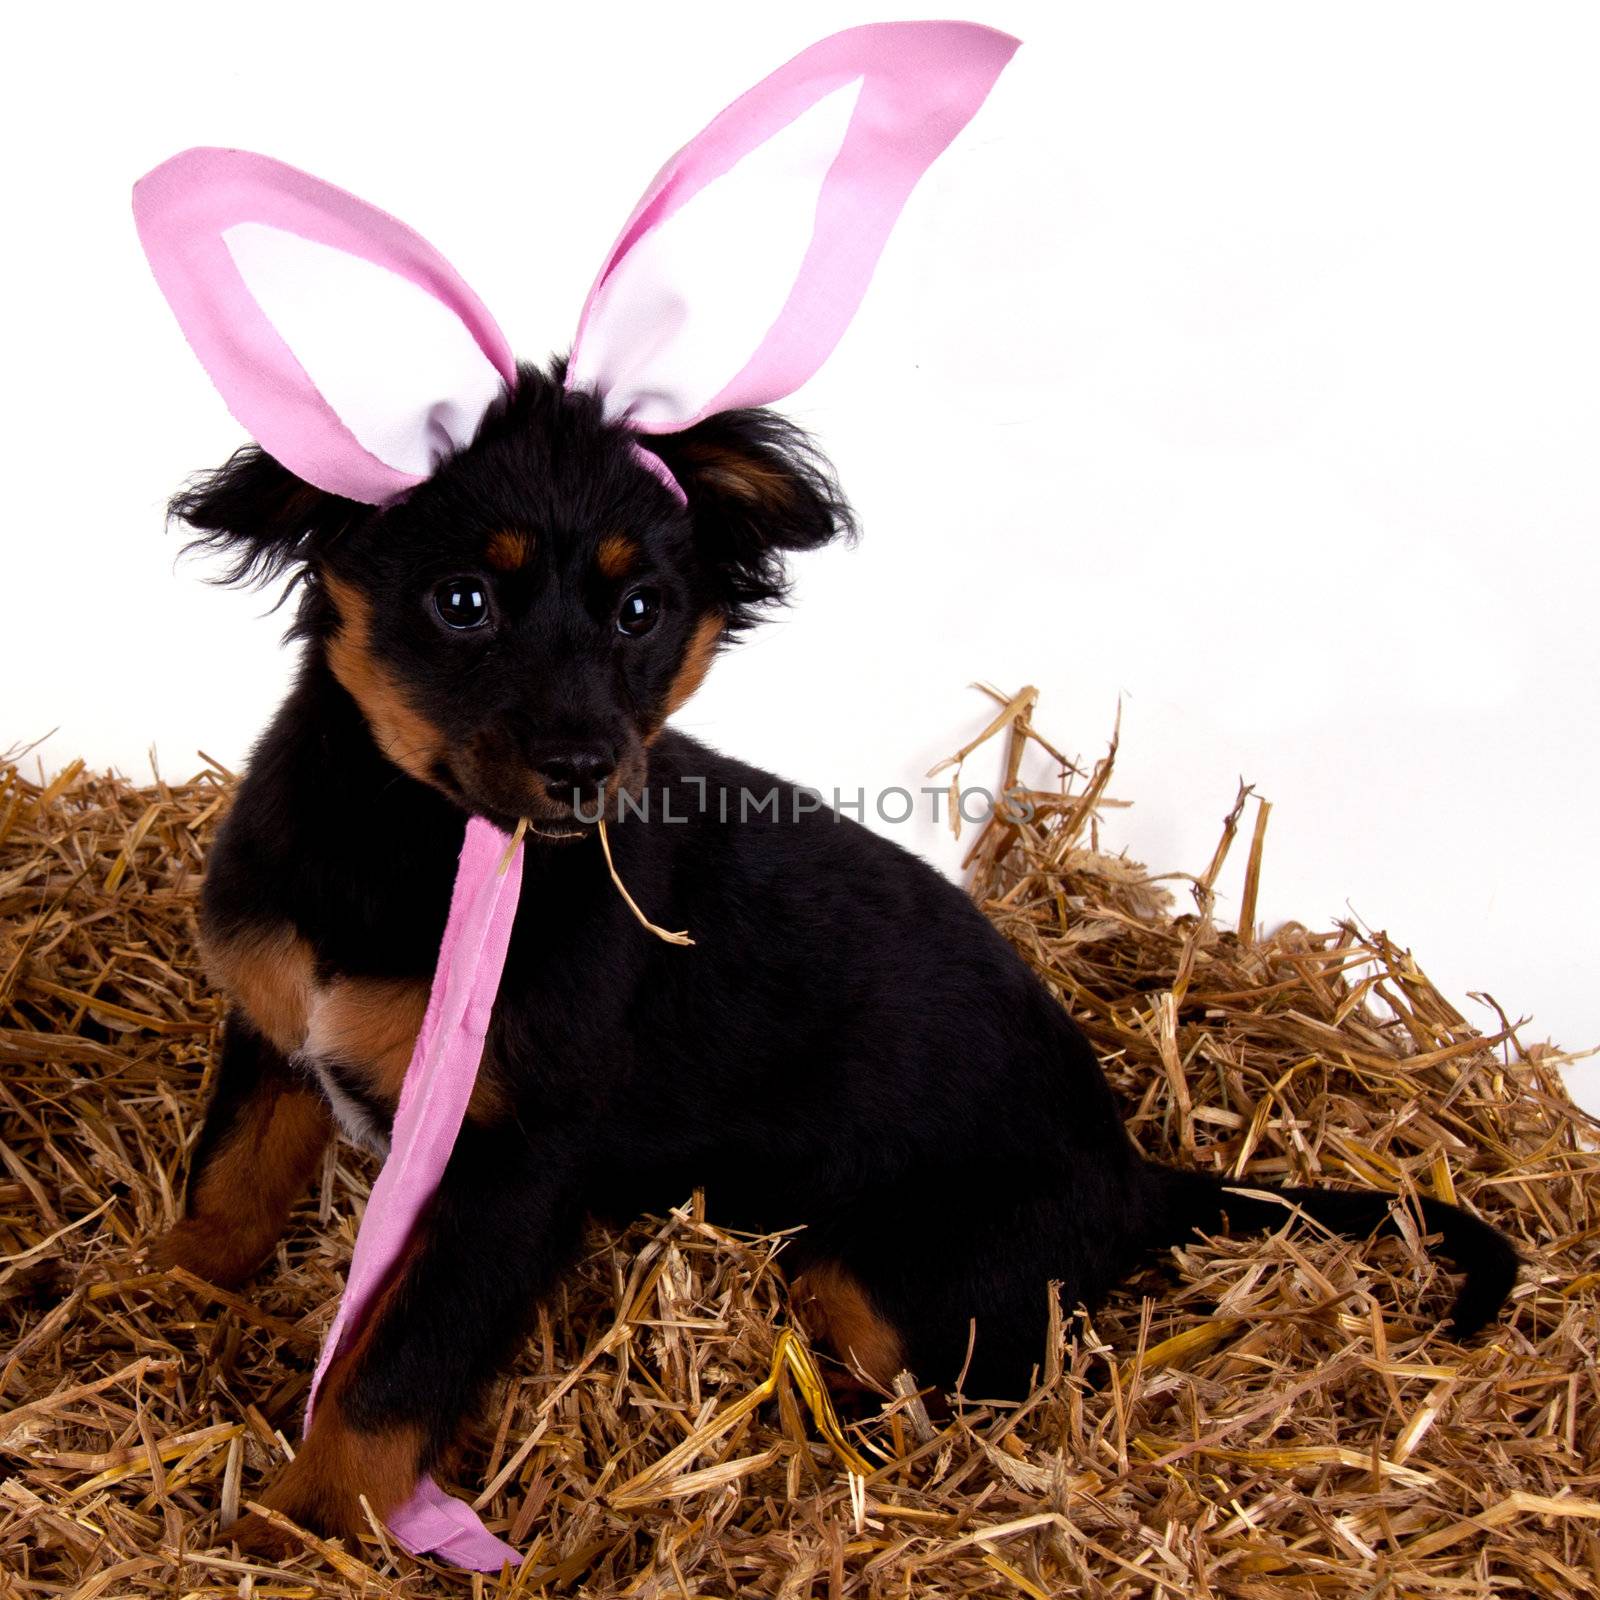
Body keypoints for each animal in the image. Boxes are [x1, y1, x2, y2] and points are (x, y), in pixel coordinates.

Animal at [152, 366, 1523, 1548]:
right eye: (461, 601)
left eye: (642, 611)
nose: (588, 768)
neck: (411, 850)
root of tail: (1133, 1172)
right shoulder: (278, 1037)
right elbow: (224, 1197)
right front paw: (155, 1301)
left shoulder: (509, 1171)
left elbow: (393, 1377)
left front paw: (302, 1528)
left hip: (880, 1279)